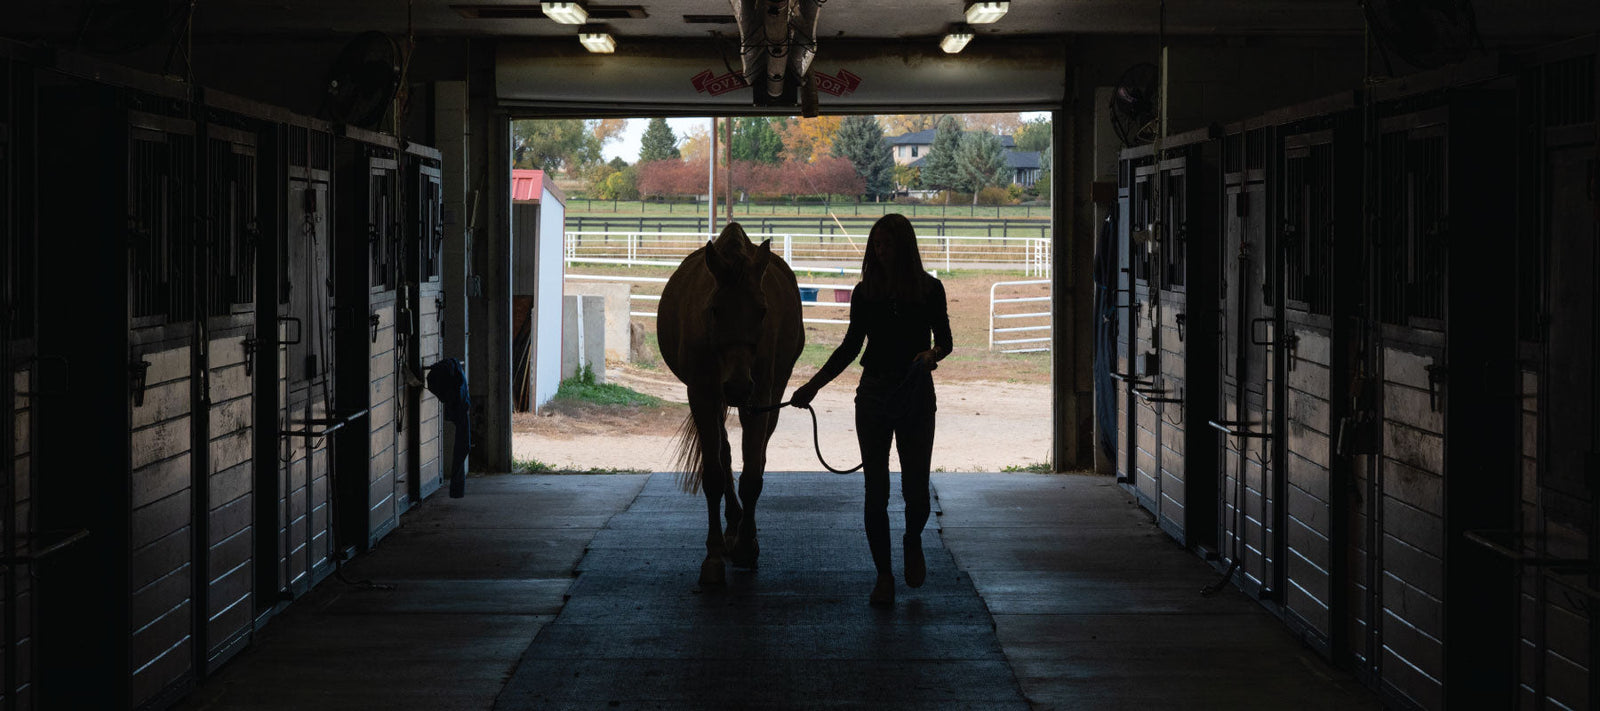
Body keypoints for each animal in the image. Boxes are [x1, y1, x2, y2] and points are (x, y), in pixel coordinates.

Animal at [657, 222, 805, 587]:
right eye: (715, 309)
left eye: (762, 311)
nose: (737, 386)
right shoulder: (702, 396)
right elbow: (713, 473)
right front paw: (712, 558)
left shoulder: (760, 398)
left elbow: (752, 474)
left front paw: (748, 546)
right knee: (723, 455)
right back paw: (732, 525)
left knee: (757, 457)